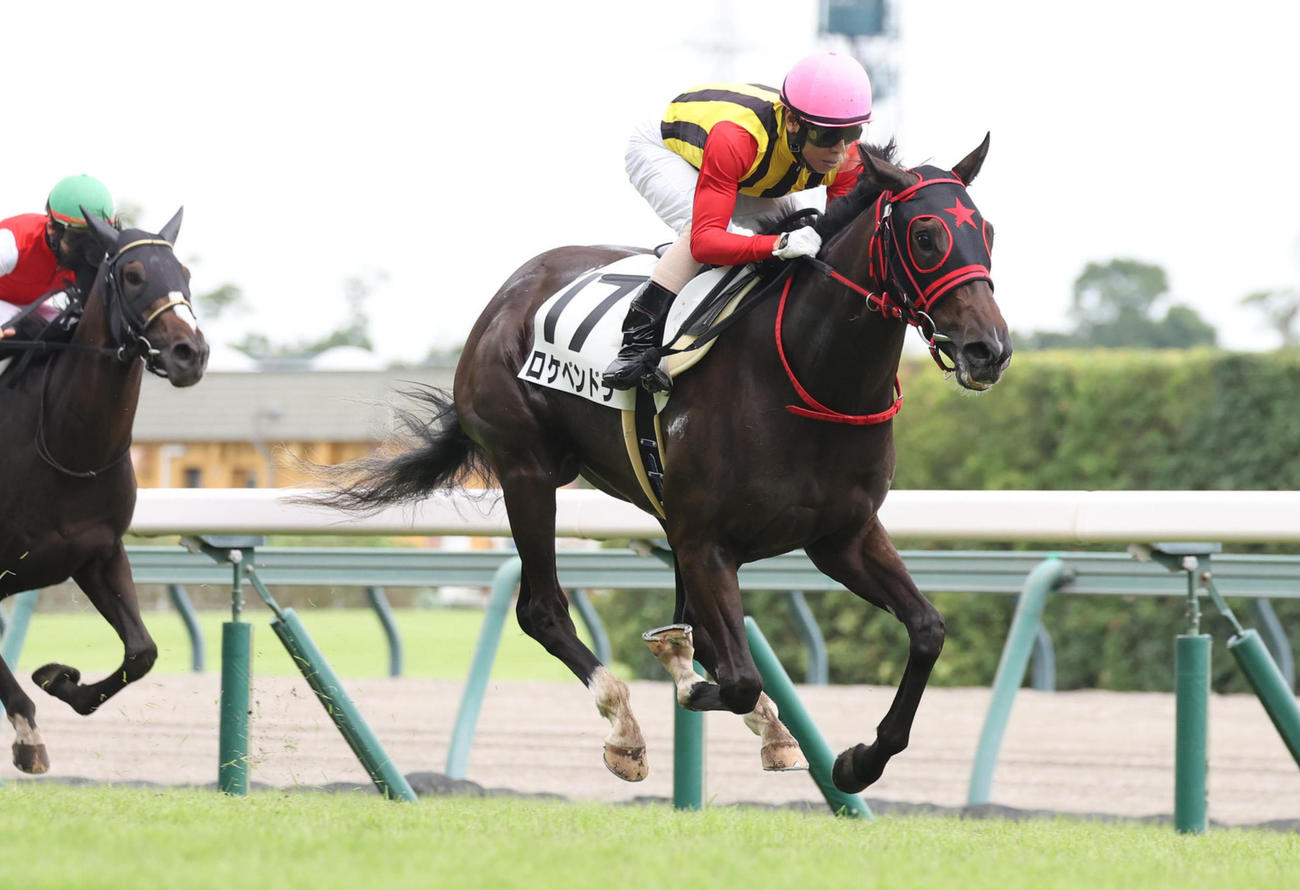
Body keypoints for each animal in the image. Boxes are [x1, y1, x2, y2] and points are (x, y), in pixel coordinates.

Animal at [0, 209, 208, 774]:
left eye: (185, 271)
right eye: (133, 275)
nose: (191, 352)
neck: (67, 452)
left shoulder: (98, 552)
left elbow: (142, 652)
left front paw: (58, 678)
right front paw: (29, 739)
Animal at [320, 136, 1010, 793]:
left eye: (988, 231)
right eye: (925, 236)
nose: (990, 350)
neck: (805, 374)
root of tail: (508, 294)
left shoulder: (842, 536)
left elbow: (926, 629)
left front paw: (857, 763)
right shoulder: (706, 541)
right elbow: (733, 677)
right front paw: (692, 685)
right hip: (527, 471)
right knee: (542, 610)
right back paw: (626, 730)